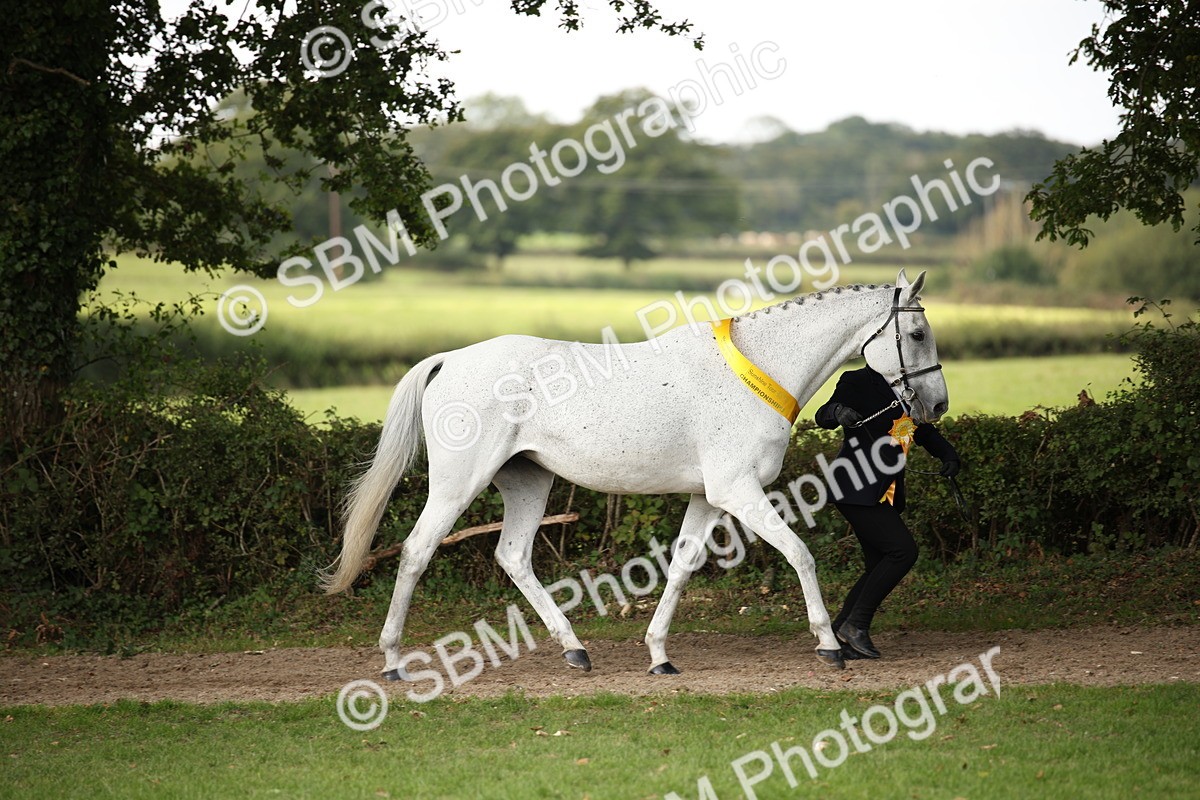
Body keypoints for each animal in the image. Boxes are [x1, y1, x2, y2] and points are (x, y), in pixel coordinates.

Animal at [321, 269, 948, 678]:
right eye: (917, 334)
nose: (937, 406)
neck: (759, 369)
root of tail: (450, 359)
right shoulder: (738, 490)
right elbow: (800, 554)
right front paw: (829, 646)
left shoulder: (708, 496)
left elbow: (682, 566)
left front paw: (659, 655)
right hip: (459, 484)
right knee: (416, 551)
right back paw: (394, 661)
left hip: (528, 481)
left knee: (513, 556)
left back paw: (575, 650)